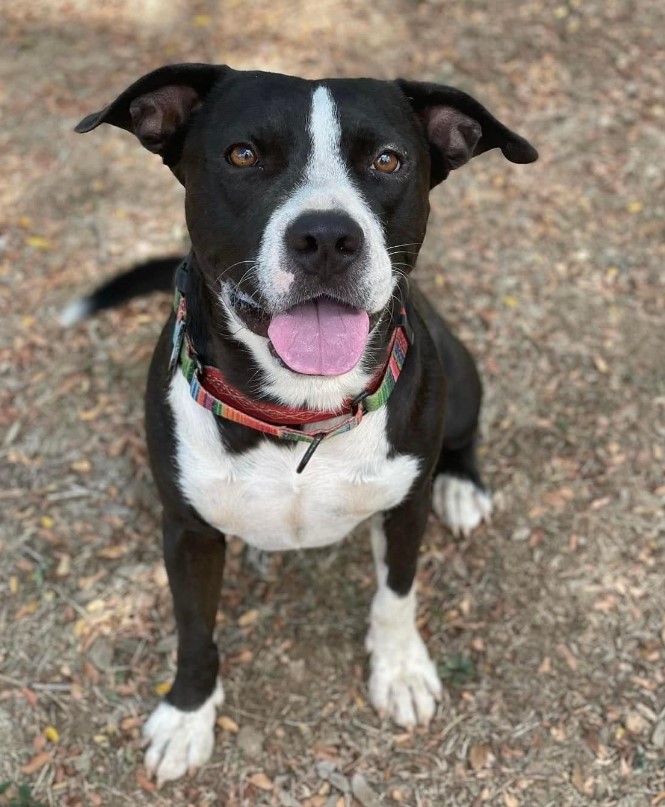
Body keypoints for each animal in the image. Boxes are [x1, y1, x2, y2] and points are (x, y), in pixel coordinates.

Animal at [66, 61, 536, 784]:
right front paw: (186, 715)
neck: (299, 412)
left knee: (463, 435)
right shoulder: (186, 530)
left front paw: (400, 671)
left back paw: (461, 485)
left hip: (460, 375)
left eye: (387, 160)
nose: (327, 239)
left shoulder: (404, 510)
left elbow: (396, 595)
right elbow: (194, 631)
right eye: (242, 155)